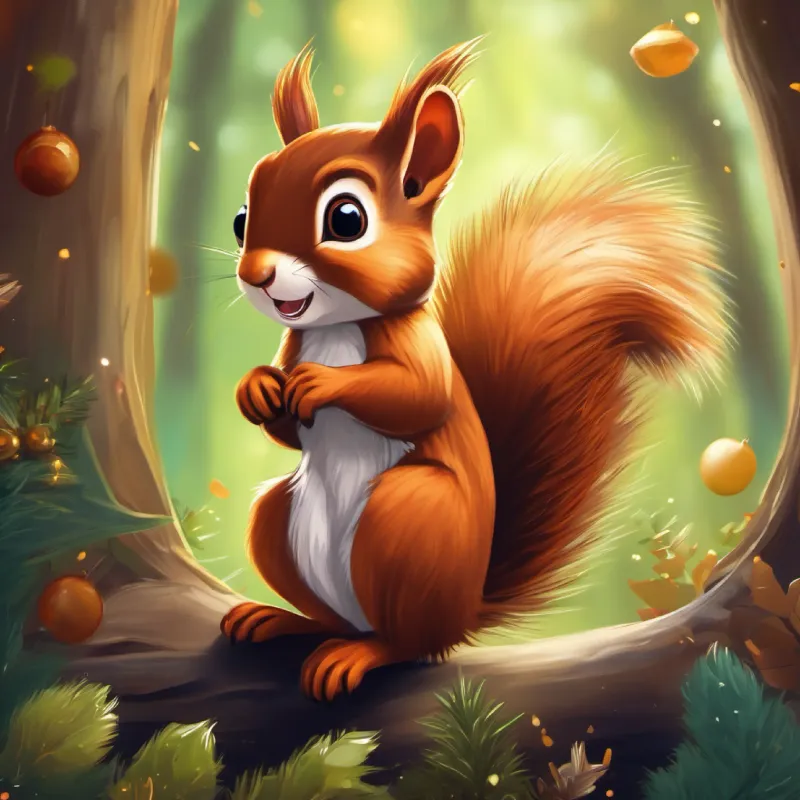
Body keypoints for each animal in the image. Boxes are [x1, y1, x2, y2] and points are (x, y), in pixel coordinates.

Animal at [221, 38, 730, 702]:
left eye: (346, 220)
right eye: (240, 218)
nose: (256, 275)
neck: (335, 327)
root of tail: (464, 614)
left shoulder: (421, 348)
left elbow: (416, 397)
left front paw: (323, 384)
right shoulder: (295, 343)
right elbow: (286, 426)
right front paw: (257, 388)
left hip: (409, 516)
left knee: (406, 643)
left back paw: (360, 654)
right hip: (277, 518)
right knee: (330, 615)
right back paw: (281, 620)